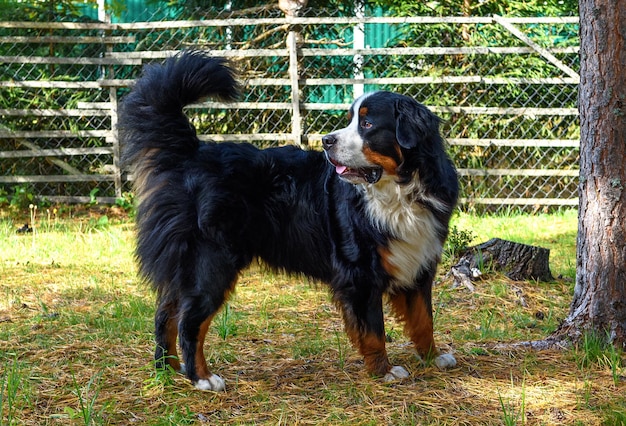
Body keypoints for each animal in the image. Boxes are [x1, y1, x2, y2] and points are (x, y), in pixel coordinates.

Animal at [118, 50, 458, 392]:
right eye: (353, 120)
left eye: (367, 123)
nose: (327, 140)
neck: (400, 193)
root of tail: (191, 153)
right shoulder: (360, 273)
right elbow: (374, 330)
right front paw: (383, 371)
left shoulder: (418, 262)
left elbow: (423, 319)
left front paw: (433, 357)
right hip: (211, 263)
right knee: (190, 322)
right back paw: (201, 377)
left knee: (166, 315)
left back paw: (169, 369)